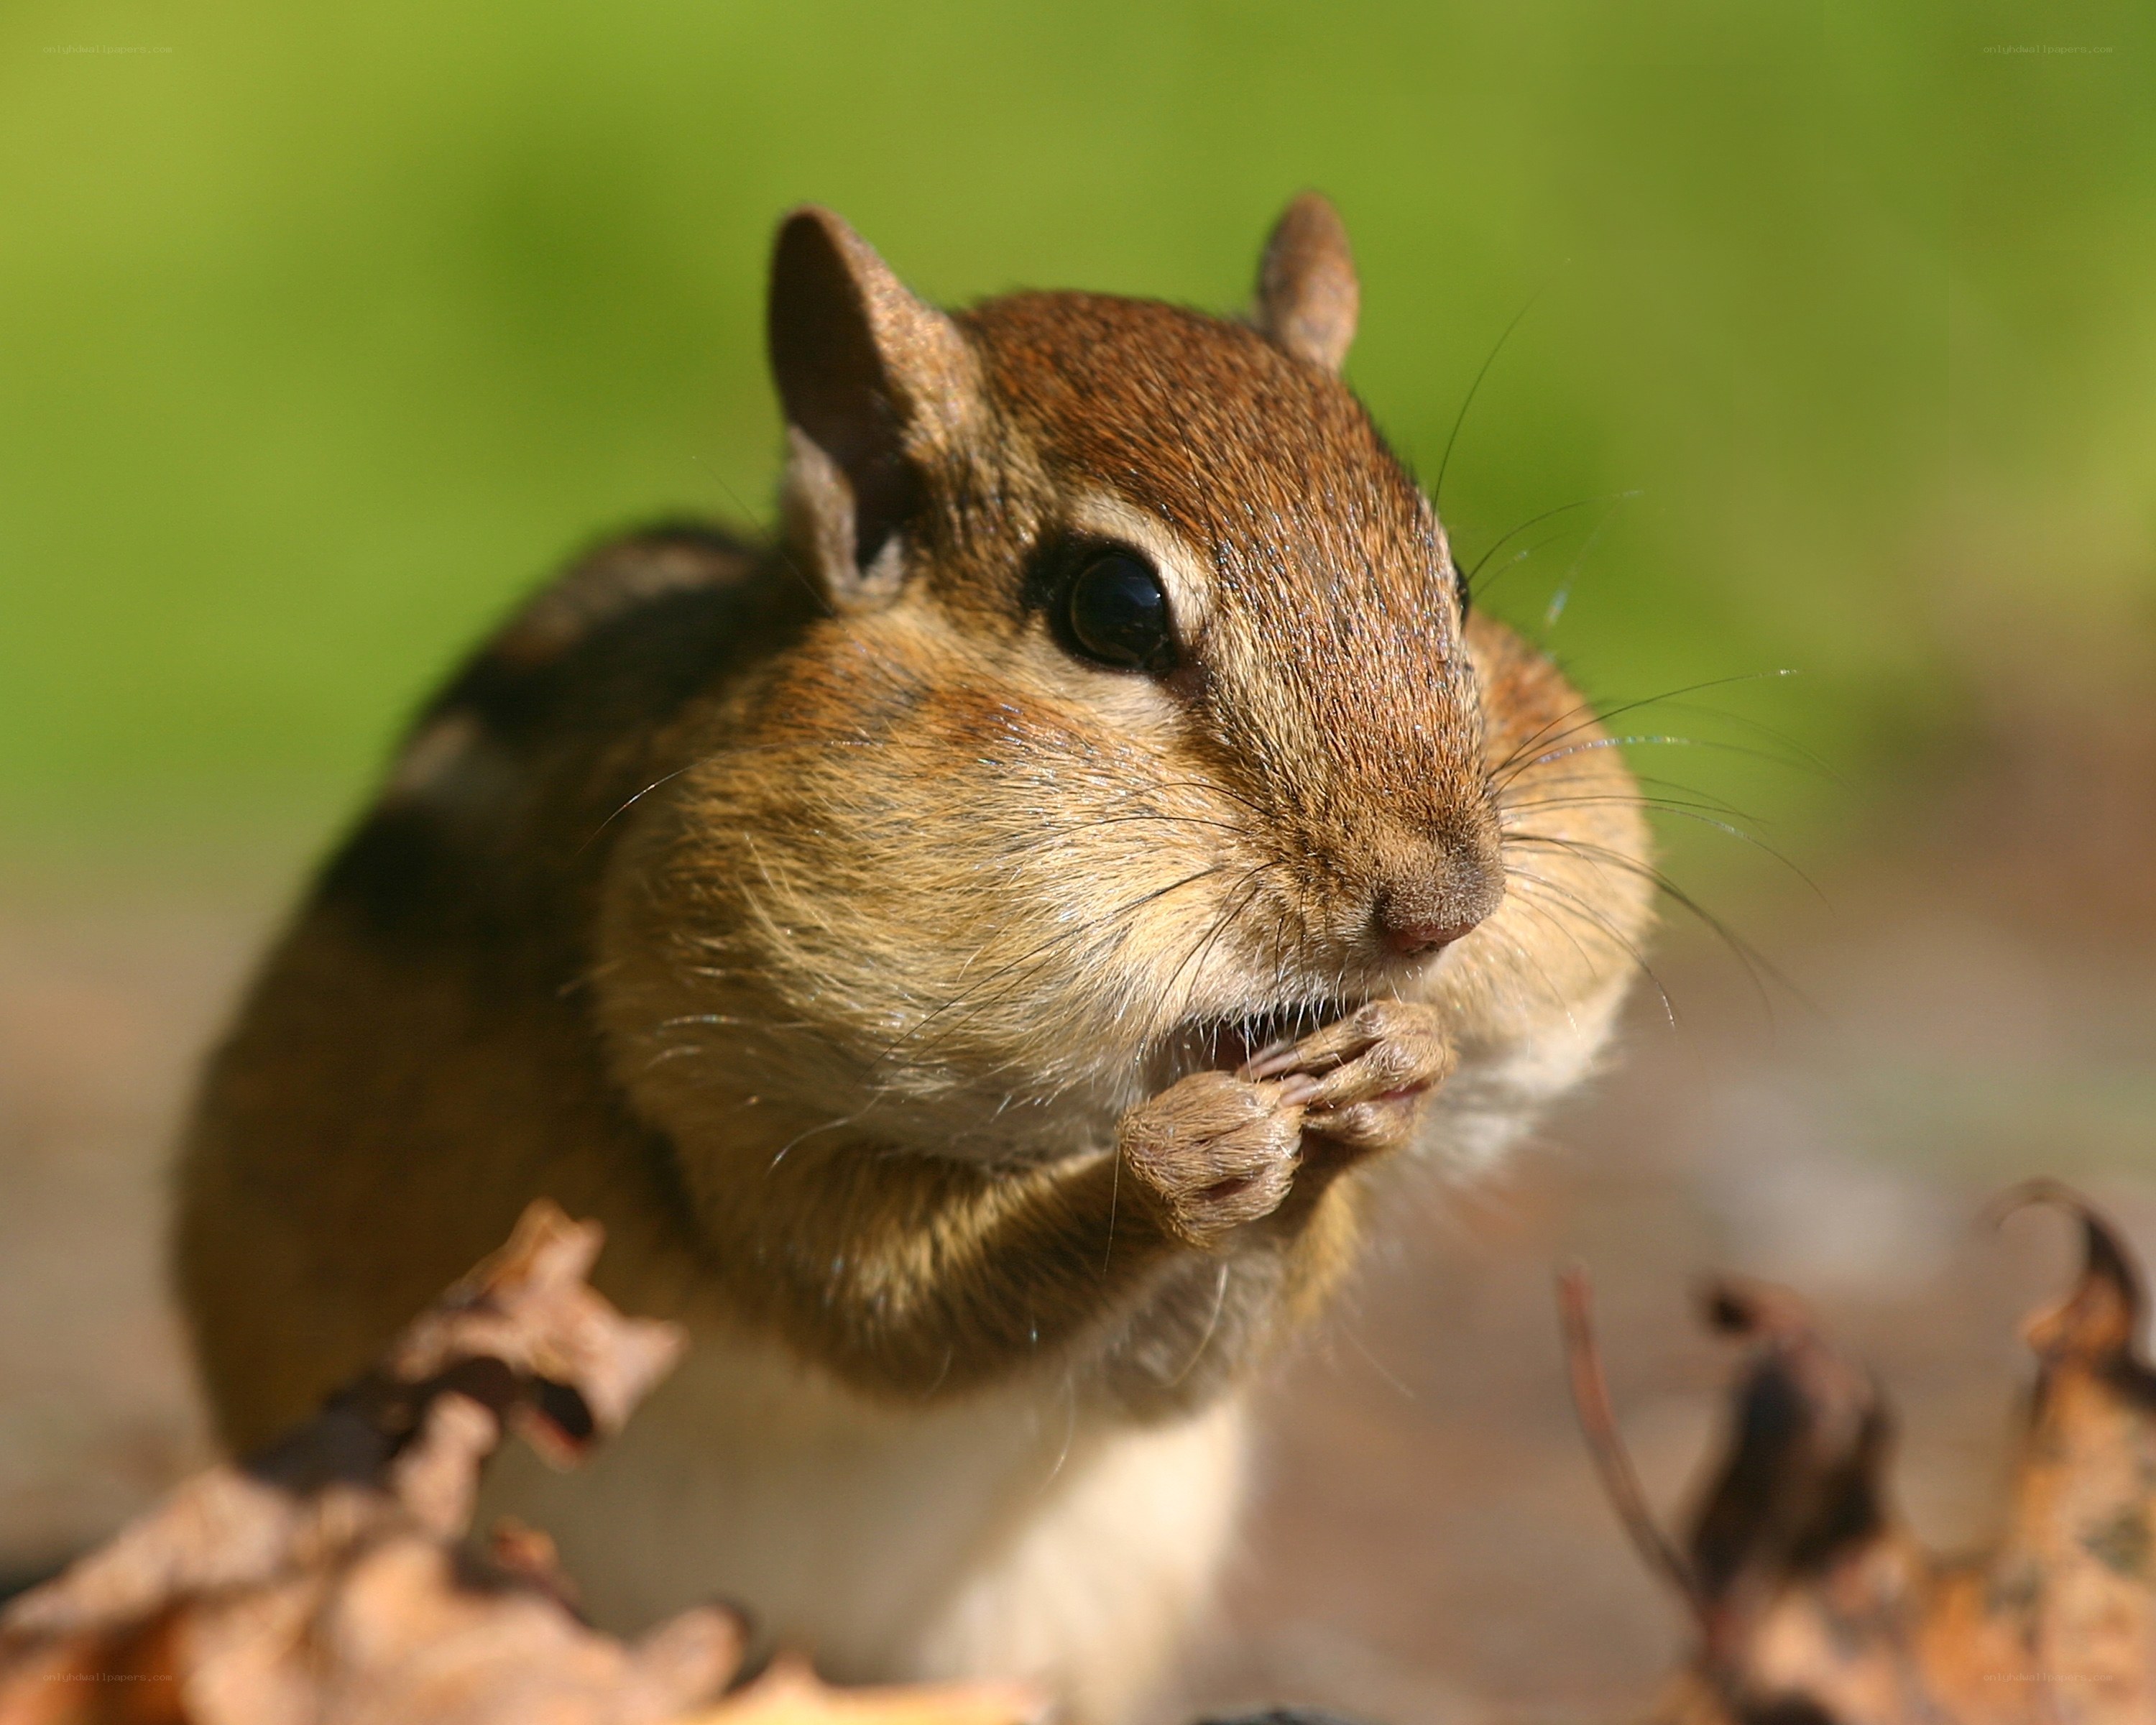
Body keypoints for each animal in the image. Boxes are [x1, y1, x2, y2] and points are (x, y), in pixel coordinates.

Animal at [175, 195, 1652, 1722]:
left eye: (1453, 582)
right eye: (1116, 608)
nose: (1445, 906)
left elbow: (1166, 1375)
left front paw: (1395, 1073)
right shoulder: (718, 1105)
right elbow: (891, 1319)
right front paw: (1180, 1159)